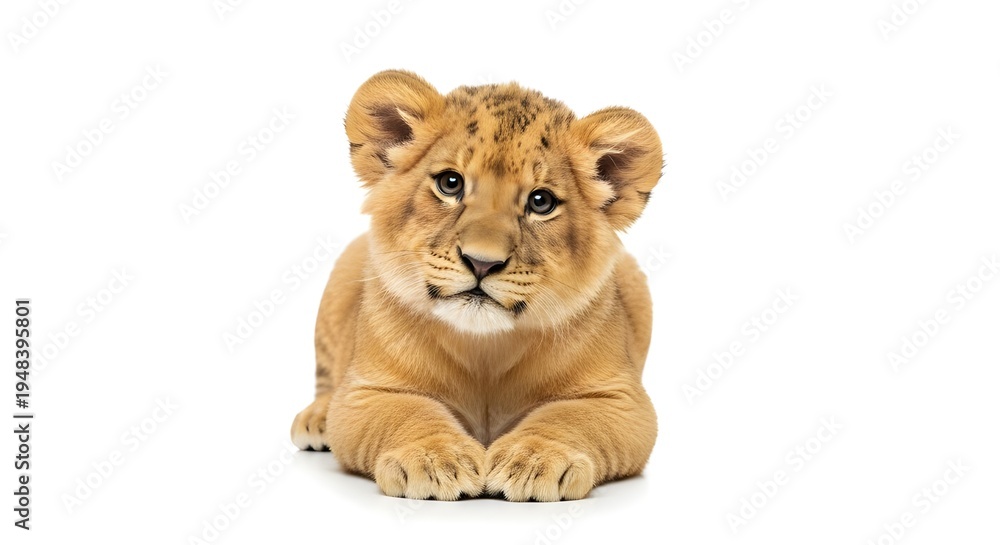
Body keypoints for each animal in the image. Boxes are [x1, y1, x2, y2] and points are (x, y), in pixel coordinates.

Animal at [290, 70, 662, 501]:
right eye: (450, 183)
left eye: (541, 202)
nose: (482, 262)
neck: (486, 350)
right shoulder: (364, 394)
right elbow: (408, 412)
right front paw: (434, 459)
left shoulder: (623, 402)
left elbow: (571, 417)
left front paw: (534, 459)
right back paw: (316, 417)